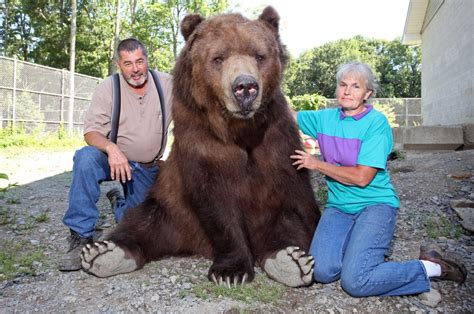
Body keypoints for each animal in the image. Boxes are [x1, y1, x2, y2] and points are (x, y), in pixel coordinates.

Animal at [81, 6, 320, 288]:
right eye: (218, 58)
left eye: (259, 55)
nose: (245, 87)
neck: (239, 130)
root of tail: (193, 244)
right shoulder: (201, 140)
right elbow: (215, 201)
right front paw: (231, 271)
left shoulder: (276, 140)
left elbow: (296, 203)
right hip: (172, 211)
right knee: (143, 222)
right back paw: (103, 253)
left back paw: (291, 261)